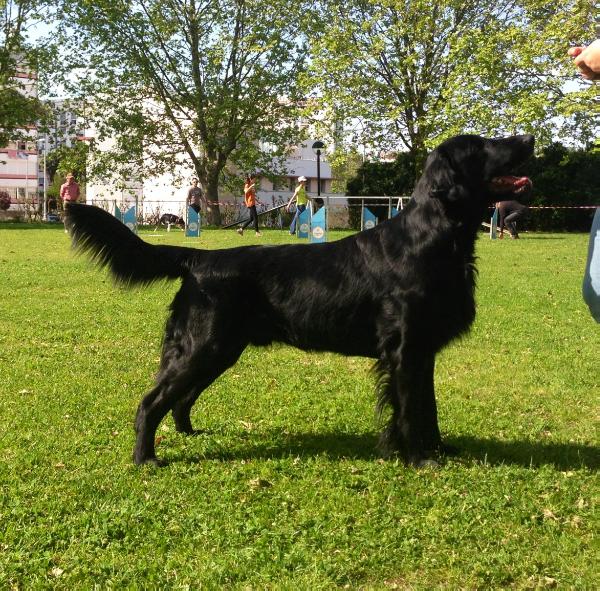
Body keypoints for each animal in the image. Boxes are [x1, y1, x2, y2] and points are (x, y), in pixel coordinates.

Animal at [65, 134, 536, 468]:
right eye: (481, 145)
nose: (530, 138)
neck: (433, 238)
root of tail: (200, 258)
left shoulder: (424, 350)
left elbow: (429, 408)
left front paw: (439, 450)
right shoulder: (405, 349)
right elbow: (408, 410)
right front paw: (418, 460)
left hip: (219, 350)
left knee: (180, 400)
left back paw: (190, 435)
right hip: (205, 347)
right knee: (151, 402)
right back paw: (146, 458)